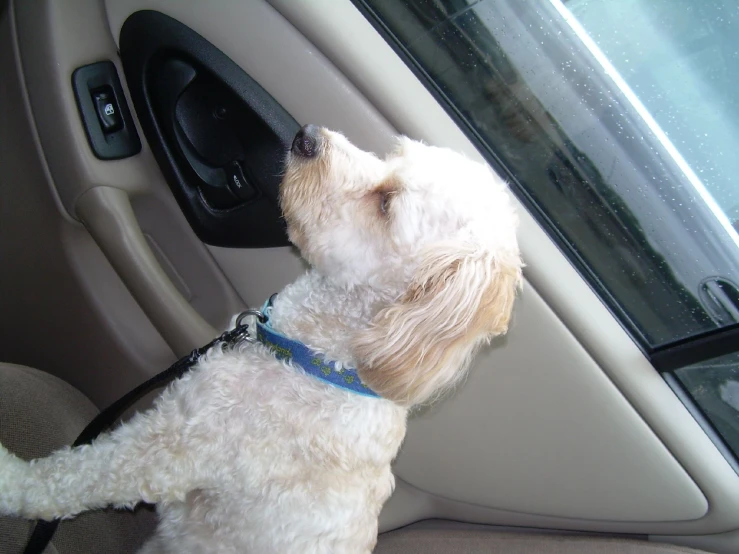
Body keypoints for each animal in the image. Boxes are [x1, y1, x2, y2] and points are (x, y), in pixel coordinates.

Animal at [0, 127, 520, 548]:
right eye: (392, 157)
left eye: (387, 203)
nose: (306, 136)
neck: (305, 357)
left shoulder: (176, 450)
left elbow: (82, 475)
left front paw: (11, 481)